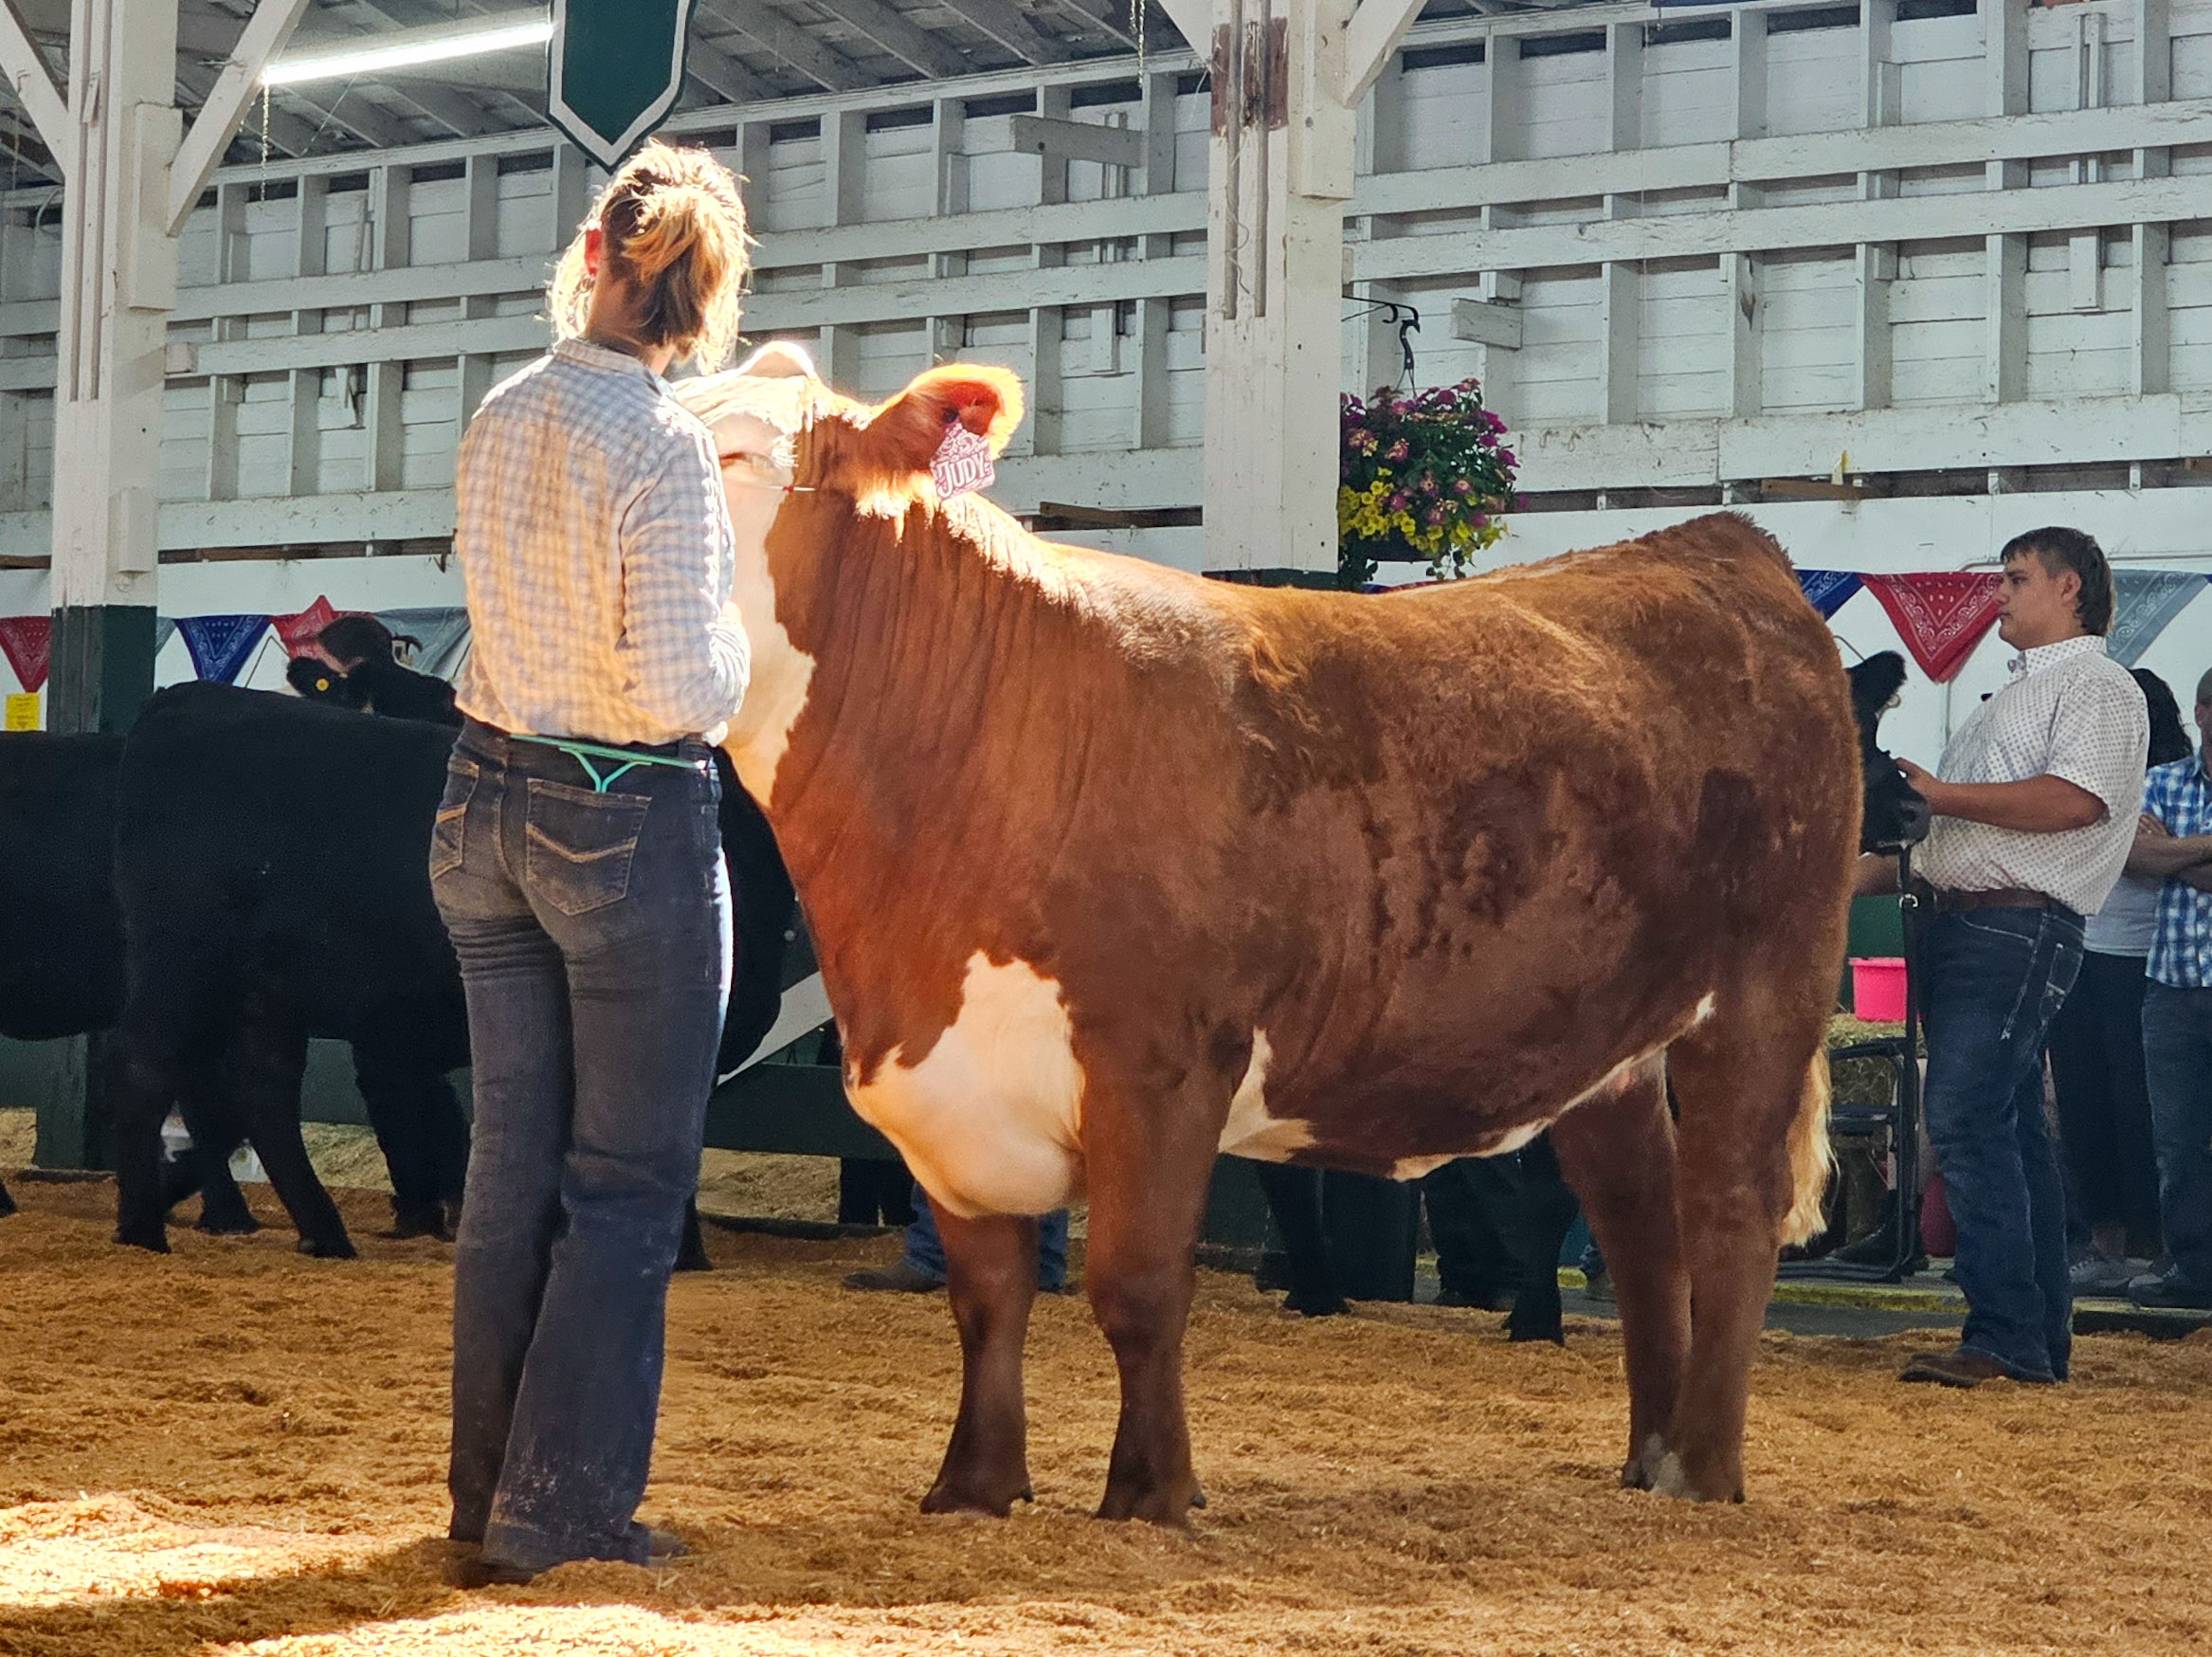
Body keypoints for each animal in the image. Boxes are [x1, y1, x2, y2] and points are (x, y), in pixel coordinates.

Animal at [103, 683, 797, 1261]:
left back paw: (322, 1233)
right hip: (181, 960)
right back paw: (142, 1228)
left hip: (265, 990)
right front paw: (681, 1254)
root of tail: (188, 699)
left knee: (262, 1093)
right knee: (149, 1067)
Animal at [673, 353, 1872, 1518]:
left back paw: (1702, 1469)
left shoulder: (1162, 1059)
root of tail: (1715, 545)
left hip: (1768, 983)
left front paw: (1151, 1491)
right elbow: (987, 1295)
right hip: (1610, 1034)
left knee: (1731, 1204)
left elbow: (1137, 1284)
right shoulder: (948, 1086)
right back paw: (1647, 1451)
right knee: (1638, 1219)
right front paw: (973, 1486)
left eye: (736, 451)